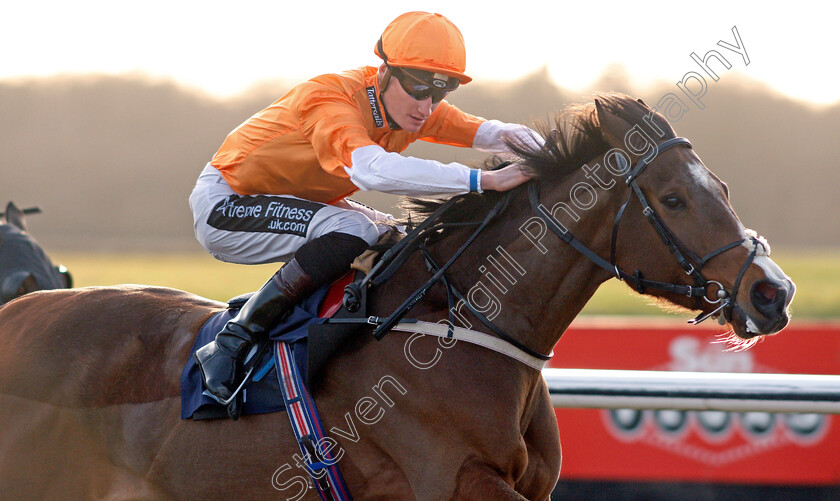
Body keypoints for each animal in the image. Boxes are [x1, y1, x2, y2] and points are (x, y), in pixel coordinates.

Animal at [0, 94, 796, 500]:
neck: (459, 329)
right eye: (674, 199)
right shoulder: (450, 483)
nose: (774, 291)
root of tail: (17, 312)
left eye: (721, 188)